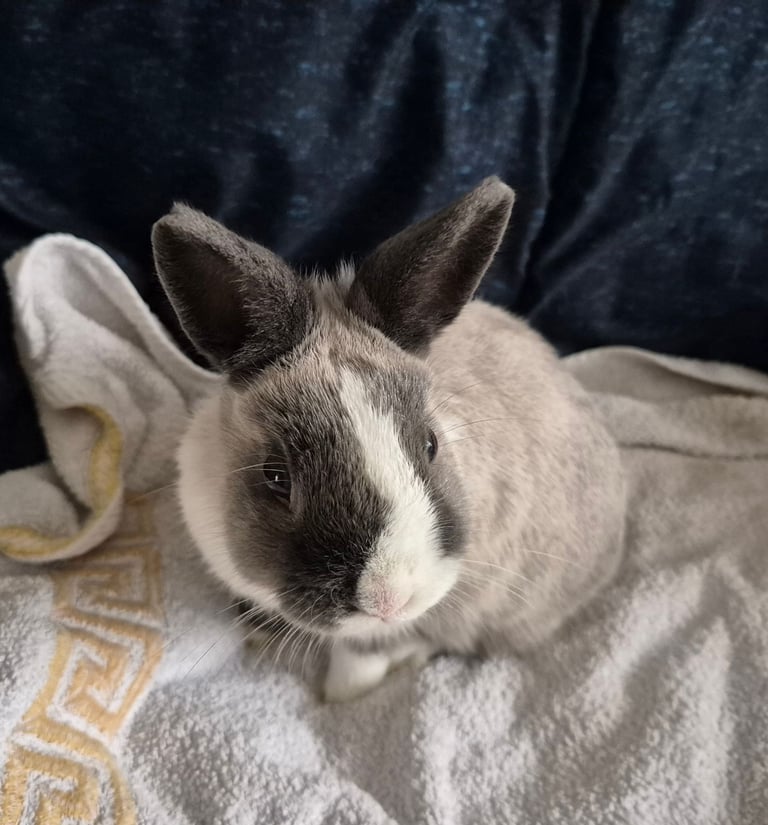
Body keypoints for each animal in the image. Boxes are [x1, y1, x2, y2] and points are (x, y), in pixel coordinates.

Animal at [151, 177, 626, 702]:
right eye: (276, 476)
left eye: (431, 444)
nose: (388, 598)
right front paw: (260, 635)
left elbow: (362, 660)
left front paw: (338, 701)